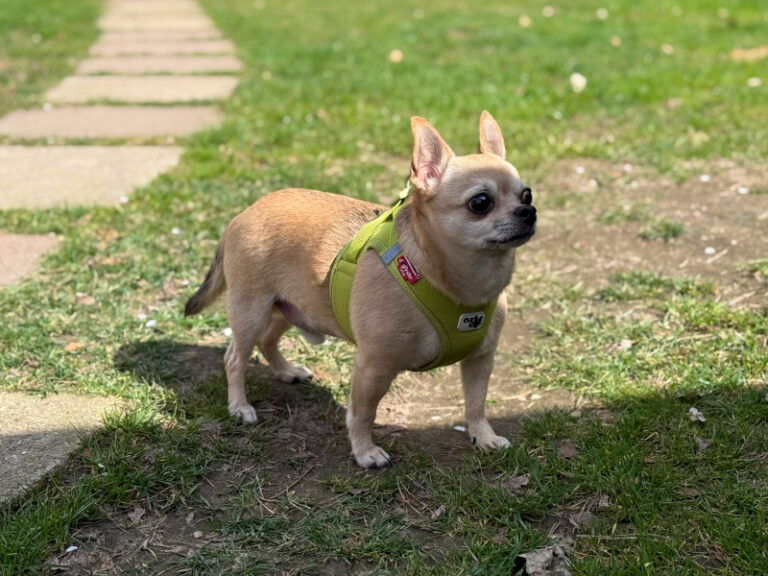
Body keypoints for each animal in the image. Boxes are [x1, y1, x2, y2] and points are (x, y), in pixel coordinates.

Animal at [184, 111, 536, 468]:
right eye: (480, 202)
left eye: (527, 195)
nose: (528, 212)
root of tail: (243, 214)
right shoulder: (374, 367)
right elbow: (363, 413)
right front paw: (364, 450)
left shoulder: (480, 360)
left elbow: (476, 404)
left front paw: (484, 436)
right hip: (251, 312)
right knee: (235, 358)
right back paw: (239, 406)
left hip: (291, 307)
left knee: (267, 341)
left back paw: (286, 371)